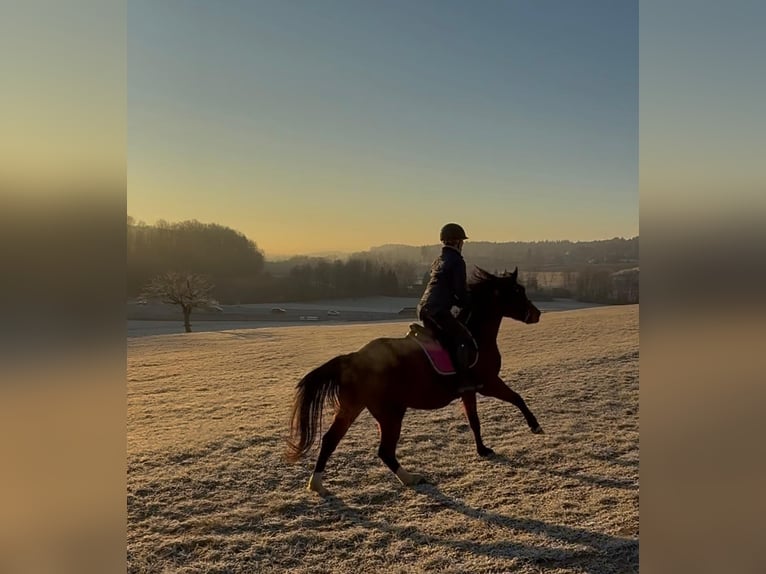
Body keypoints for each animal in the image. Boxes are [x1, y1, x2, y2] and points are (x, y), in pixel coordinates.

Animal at [288, 268, 544, 498]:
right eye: (517, 291)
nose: (537, 314)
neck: (476, 336)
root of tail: (353, 358)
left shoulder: (469, 391)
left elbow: (474, 421)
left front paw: (482, 450)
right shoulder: (489, 384)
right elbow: (516, 398)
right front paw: (535, 427)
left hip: (352, 407)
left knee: (330, 440)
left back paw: (317, 485)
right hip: (390, 412)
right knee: (384, 451)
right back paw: (410, 478)